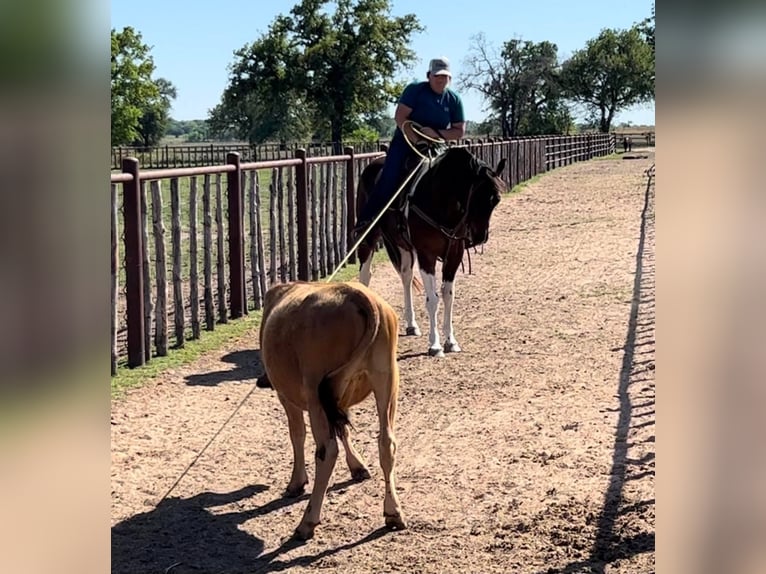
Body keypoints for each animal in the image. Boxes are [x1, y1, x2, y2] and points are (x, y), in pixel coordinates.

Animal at [356, 146, 508, 358]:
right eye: (477, 197)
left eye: (496, 200)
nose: (480, 237)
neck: (439, 200)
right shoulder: (426, 255)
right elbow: (433, 299)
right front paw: (435, 345)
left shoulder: (454, 254)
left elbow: (448, 295)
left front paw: (451, 341)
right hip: (369, 235)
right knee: (365, 275)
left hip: (403, 245)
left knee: (406, 276)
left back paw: (412, 325)